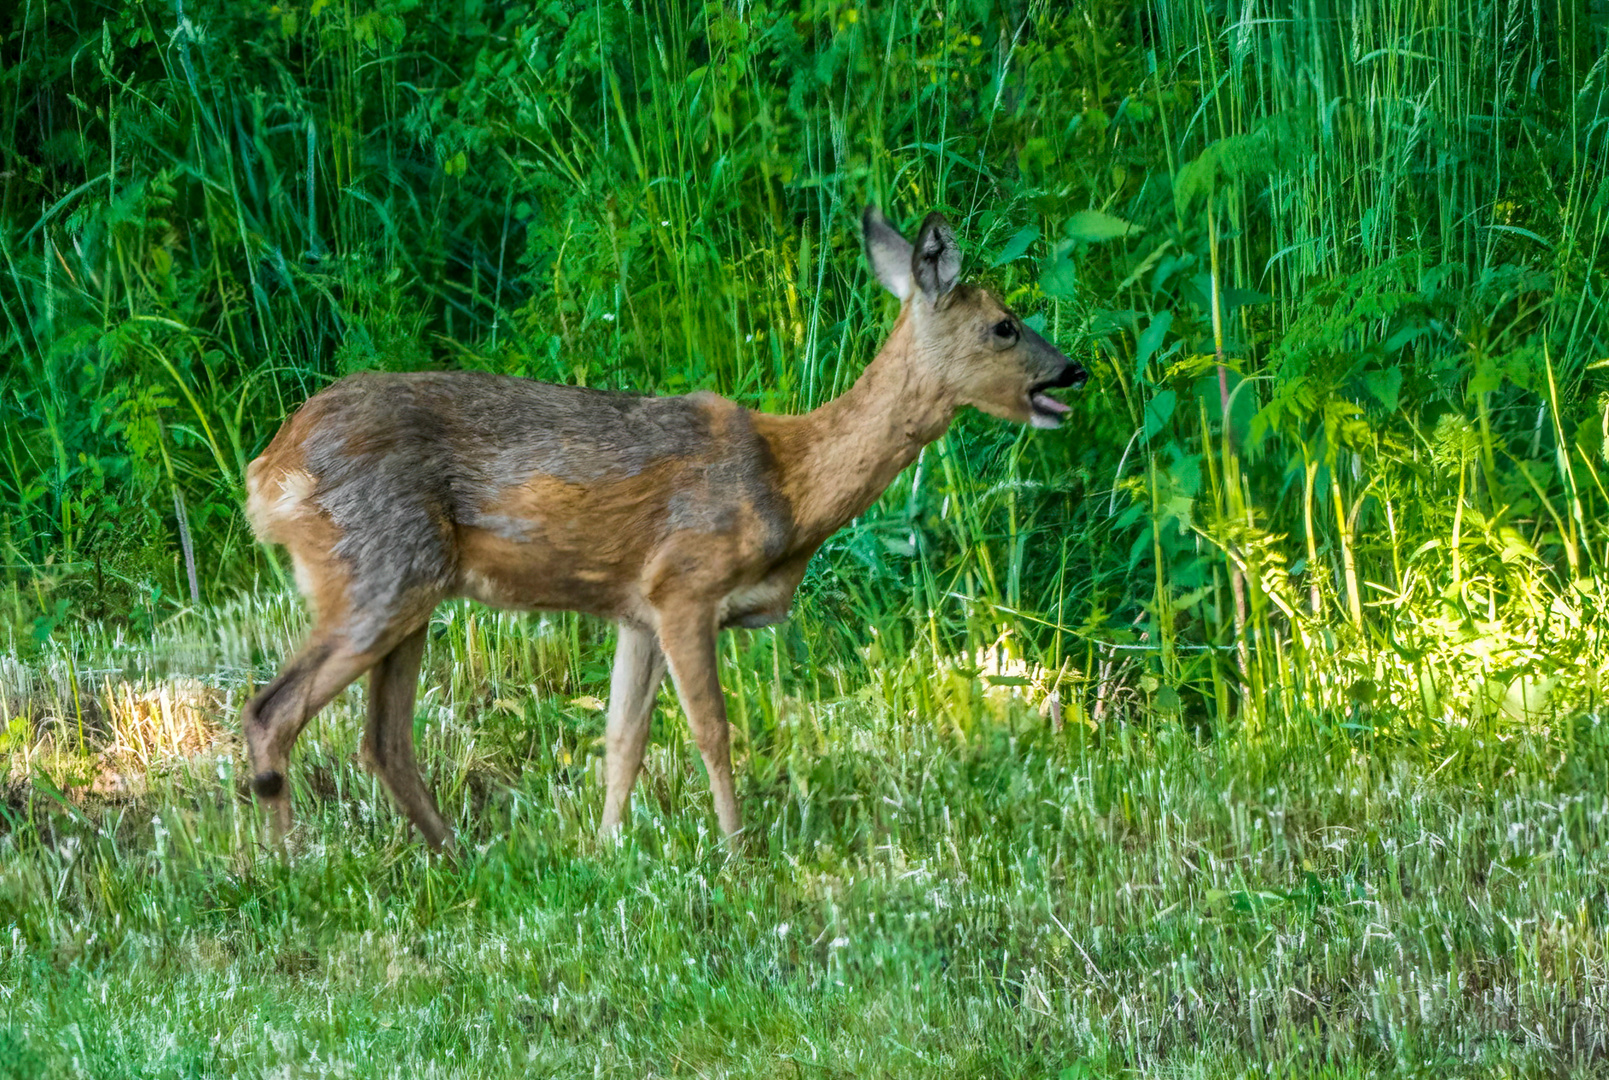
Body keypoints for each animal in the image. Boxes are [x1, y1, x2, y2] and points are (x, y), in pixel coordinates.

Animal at [238, 209, 1087, 856]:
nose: (1073, 371)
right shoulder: (685, 584)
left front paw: (606, 848)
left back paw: (457, 854)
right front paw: (738, 852)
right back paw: (288, 862)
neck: (791, 485)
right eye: (1004, 326)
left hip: (409, 590)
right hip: (375, 573)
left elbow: (623, 738)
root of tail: (268, 472)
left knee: (383, 739)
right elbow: (711, 729)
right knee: (272, 711)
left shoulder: (634, 608)